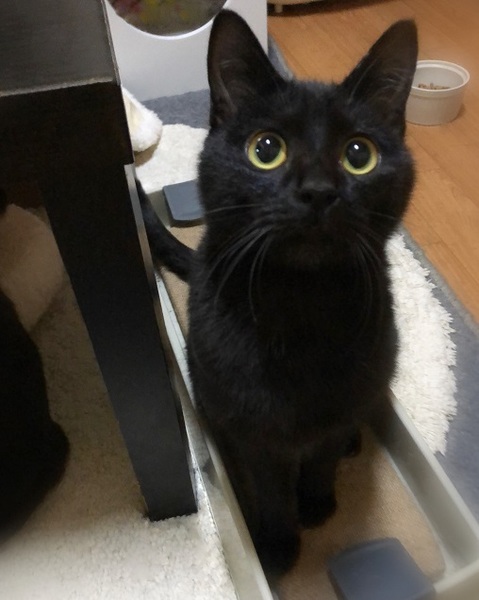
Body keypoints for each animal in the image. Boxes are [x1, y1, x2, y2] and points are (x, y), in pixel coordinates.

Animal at [139, 10, 418, 578]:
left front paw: (316, 504)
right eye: (266, 150)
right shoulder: (252, 429)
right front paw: (277, 543)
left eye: (359, 155)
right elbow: (269, 486)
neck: (301, 306)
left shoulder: (340, 403)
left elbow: (323, 457)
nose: (318, 191)